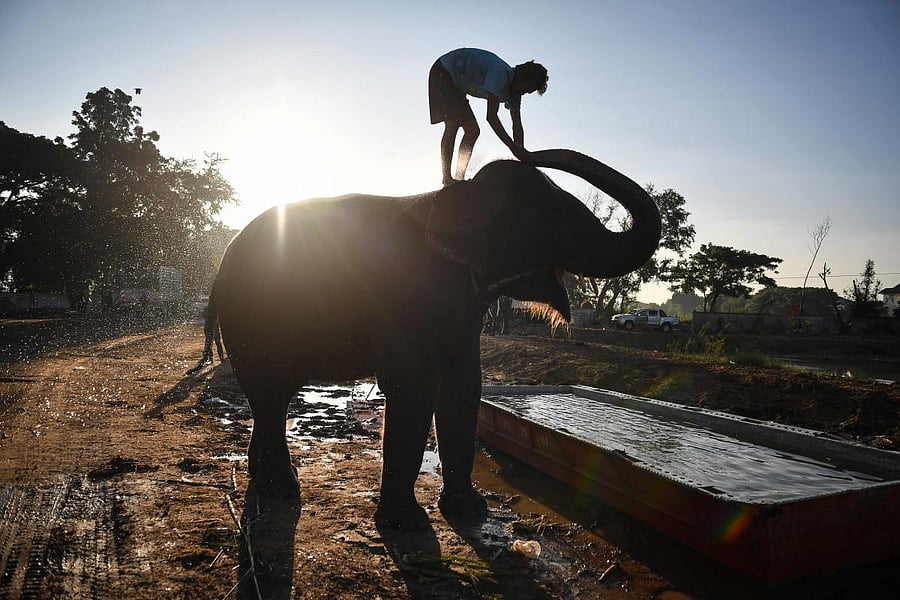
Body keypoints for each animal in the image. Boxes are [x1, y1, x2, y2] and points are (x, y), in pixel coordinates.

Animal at [195, 149, 661, 529]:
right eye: (547, 220)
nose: (526, 142)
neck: (453, 199)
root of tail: (220, 265)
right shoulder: (404, 295)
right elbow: (413, 387)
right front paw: (407, 523)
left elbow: (464, 385)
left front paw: (469, 511)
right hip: (253, 319)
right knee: (271, 393)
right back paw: (282, 490)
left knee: (270, 397)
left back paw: (265, 481)